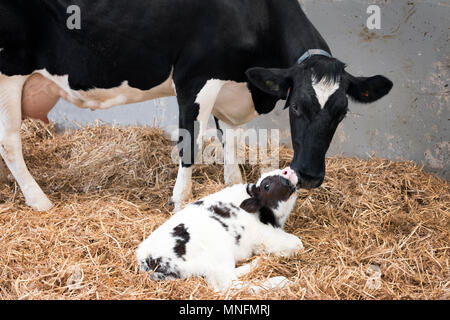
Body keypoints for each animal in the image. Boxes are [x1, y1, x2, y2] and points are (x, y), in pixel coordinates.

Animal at [0, 0, 394, 212]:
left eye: (342, 112)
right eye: (295, 107)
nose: (311, 175)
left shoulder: (232, 90)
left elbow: (231, 151)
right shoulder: (195, 77)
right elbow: (190, 145)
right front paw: (180, 202)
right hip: (8, 71)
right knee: (9, 141)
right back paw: (39, 200)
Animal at [136, 169, 302, 292]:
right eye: (266, 186)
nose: (287, 170)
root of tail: (147, 262)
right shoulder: (265, 235)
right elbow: (297, 244)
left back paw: (258, 262)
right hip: (218, 256)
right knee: (229, 286)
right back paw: (280, 281)